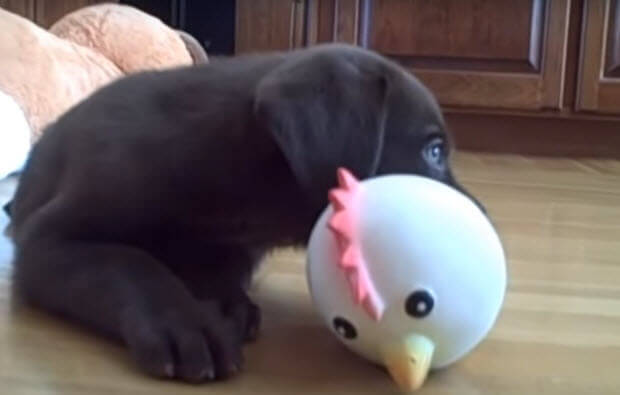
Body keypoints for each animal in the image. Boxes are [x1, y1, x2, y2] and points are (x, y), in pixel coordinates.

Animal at [4, 43, 482, 384]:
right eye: (433, 150)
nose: (482, 221)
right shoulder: (48, 241)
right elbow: (127, 262)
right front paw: (183, 321)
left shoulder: (234, 244)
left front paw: (222, 299)